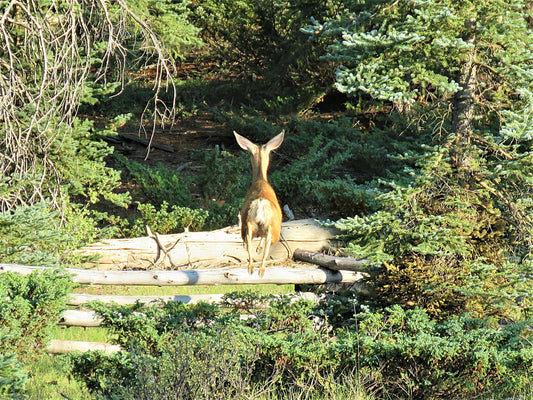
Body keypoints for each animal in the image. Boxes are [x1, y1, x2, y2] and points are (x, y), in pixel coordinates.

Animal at [233, 130, 282, 276]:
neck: (260, 180)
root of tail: (260, 203)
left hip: (248, 223)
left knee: (248, 240)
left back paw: (251, 268)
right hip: (274, 229)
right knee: (267, 243)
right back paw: (260, 270)